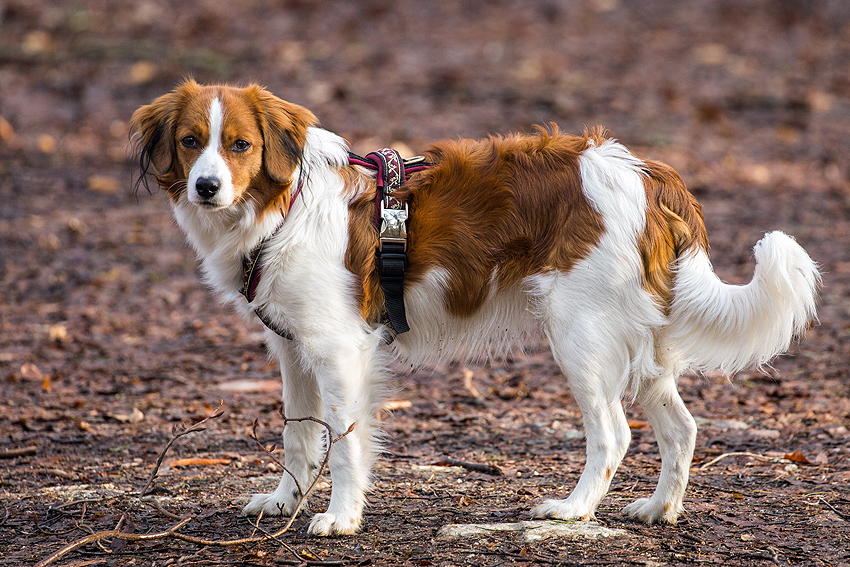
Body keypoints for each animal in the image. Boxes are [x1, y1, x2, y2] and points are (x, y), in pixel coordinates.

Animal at [131, 81, 816, 536]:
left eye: (241, 145)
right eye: (191, 142)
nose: (206, 186)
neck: (284, 207)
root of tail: (646, 173)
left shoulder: (338, 349)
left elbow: (345, 442)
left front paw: (340, 517)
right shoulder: (292, 350)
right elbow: (298, 436)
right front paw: (283, 502)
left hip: (581, 337)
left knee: (614, 434)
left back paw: (573, 511)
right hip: (639, 345)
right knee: (681, 429)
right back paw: (658, 510)